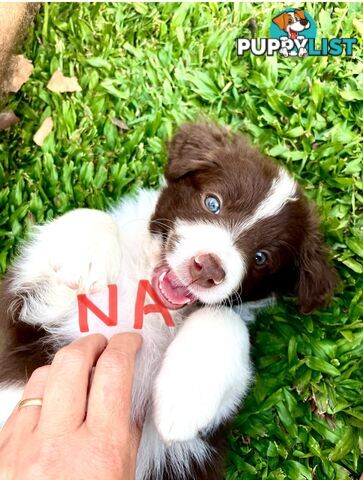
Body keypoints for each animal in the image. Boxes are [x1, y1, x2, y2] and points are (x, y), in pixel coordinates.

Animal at [0, 124, 338, 480]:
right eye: (212, 203)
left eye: (262, 258)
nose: (208, 268)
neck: (152, 299)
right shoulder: (30, 309)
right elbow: (86, 223)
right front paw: (83, 256)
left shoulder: (211, 428)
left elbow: (225, 321)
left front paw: (183, 402)